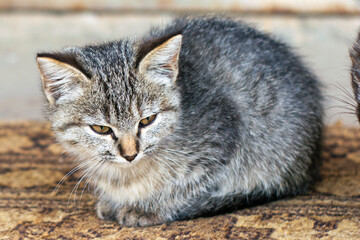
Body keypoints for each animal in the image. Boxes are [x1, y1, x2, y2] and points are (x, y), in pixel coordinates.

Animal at [36, 15, 324, 226]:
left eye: (147, 120)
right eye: (101, 128)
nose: (130, 154)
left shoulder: (223, 136)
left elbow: (187, 186)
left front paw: (151, 208)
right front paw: (113, 200)